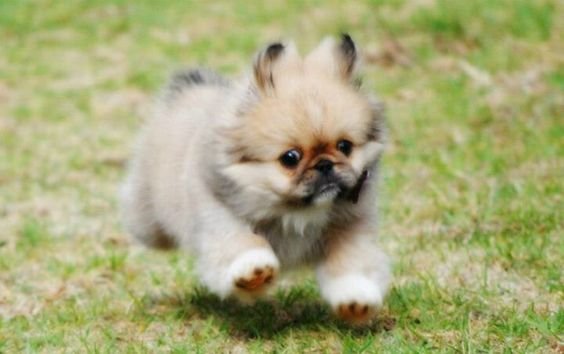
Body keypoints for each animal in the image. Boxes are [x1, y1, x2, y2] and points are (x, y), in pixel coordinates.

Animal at [120, 34, 390, 324]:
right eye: (291, 158)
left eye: (344, 146)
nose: (325, 165)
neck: (295, 213)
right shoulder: (218, 214)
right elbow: (240, 242)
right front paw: (253, 272)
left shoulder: (351, 226)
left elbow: (351, 260)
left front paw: (356, 299)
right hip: (147, 223)